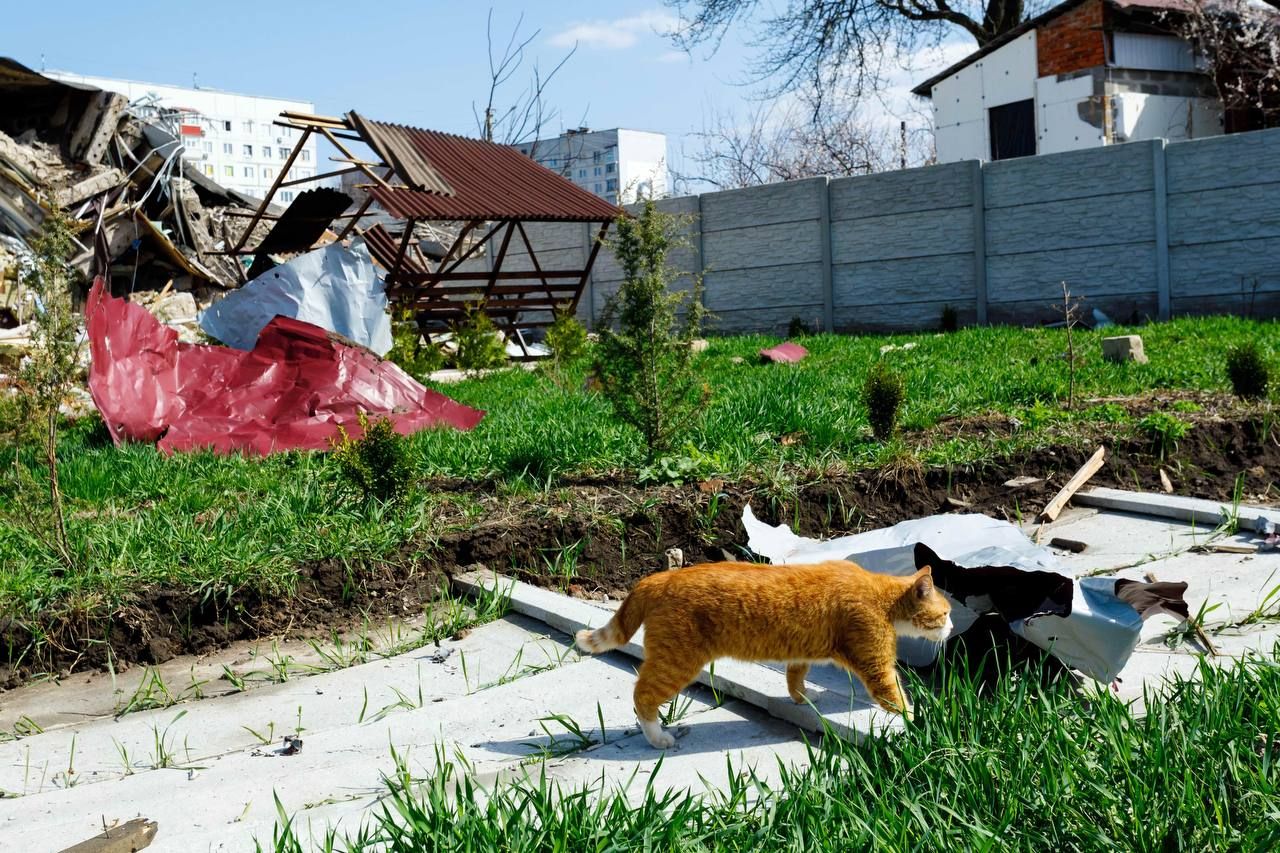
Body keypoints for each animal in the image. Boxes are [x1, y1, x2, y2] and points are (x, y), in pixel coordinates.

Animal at [578, 558, 952, 742]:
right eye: (947, 613)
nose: (951, 629)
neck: (882, 596)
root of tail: (657, 578)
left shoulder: (801, 654)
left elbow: (795, 677)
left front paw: (803, 698)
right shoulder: (875, 661)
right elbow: (894, 696)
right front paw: (920, 719)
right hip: (676, 663)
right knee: (642, 697)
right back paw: (658, 738)